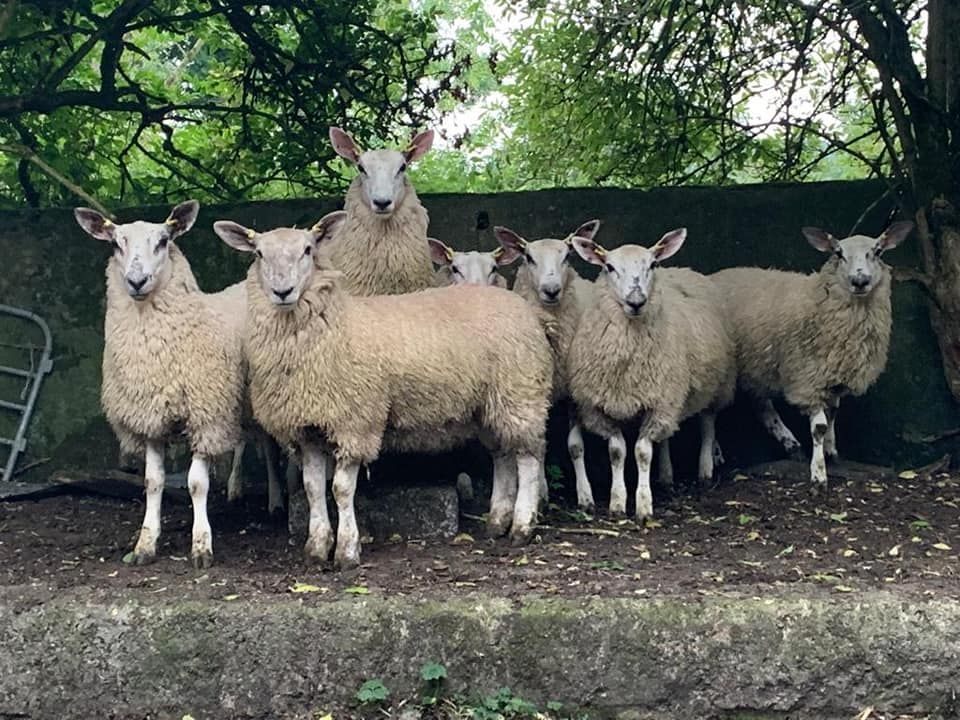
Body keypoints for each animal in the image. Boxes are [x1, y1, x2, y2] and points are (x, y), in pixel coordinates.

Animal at [74, 201, 250, 568]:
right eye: (116, 244)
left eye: (163, 241)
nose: (136, 281)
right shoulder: (150, 418)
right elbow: (153, 482)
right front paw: (145, 544)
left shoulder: (205, 415)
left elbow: (196, 484)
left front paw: (201, 546)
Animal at [213, 212, 555, 569]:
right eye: (258, 253)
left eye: (308, 250)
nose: (283, 291)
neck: (333, 325)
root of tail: (526, 310)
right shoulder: (309, 426)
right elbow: (312, 488)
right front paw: (317, 547)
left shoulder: (355, 422)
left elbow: (341, 489)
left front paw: (347, 550)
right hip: (490, 405)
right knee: (503, 455)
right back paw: (497, 521)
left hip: (520, 393)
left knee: (529, 457)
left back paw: (521, 526)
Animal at [493, 221, 602, 512]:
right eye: (529, 257)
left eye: (567, 256)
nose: (551, 290)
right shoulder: (536, 389)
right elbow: (539, 443)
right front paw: (540, 493)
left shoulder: (574, 390)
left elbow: (575, 446)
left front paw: (585, 495)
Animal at [566, 229, 736, 519]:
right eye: (609, 267)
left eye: (652, 264)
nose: (636, 302)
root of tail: (682, 269)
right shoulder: (600, 408)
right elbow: (617, 452)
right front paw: (617, 502)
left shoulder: (658, 403)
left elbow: (642, 453)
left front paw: (644, 505)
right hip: (671, 399)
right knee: (667, 436)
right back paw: (666, 475)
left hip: (715, 385)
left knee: (707, 423)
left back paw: (705, 468)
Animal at [710, 221, 913, 490]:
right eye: (838, 253)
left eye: (878, 251)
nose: (860, 281)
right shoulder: (808, 377)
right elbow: (819, 426)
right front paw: (819, 474)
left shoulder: (834, 377)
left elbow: (833, 415)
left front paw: (831, 453)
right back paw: (715, 454)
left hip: (759, 363)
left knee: (761, 406)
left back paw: (791, 444)